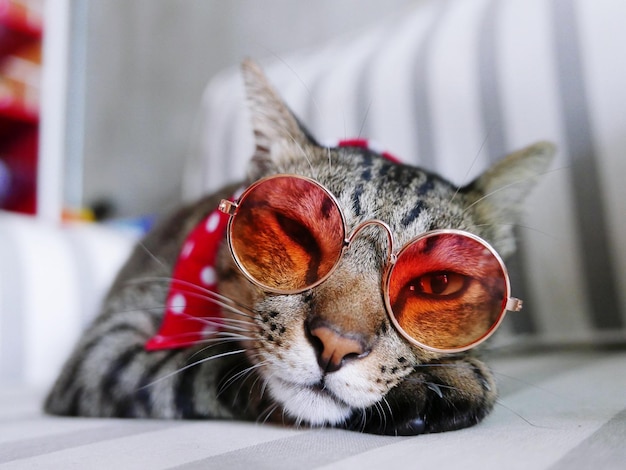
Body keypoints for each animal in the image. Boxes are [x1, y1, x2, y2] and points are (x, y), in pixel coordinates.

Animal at [44, 59, 552, 436]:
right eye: (295, 232)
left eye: (437, 283)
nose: (336, 345)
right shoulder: (104, 352)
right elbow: (207, 366)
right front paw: (443, 385)